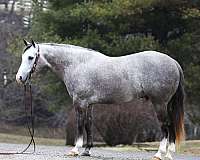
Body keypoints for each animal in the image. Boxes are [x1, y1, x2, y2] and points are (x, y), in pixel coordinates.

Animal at [15, 39, 184, 160]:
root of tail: (174, 62)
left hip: (159, 103)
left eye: (30, 57)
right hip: (167, 104)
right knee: (170, 126)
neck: (78, 64)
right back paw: (169, 154)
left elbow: (80, 125)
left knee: (165, 126)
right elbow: (89, 124)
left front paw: (75, 150)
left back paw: (159, 154)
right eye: (23, 57)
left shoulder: (80, 103)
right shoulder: (89, 104)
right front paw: (87, 150)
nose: (19, 78)